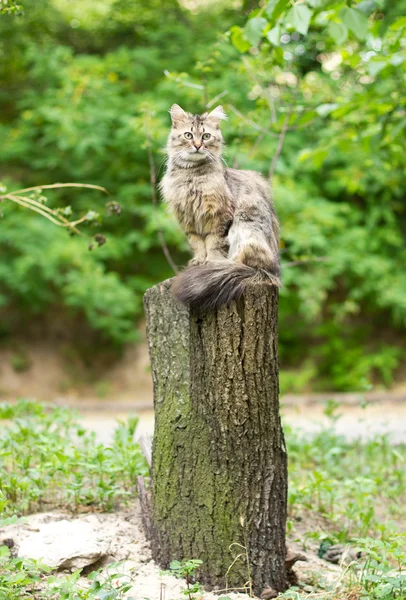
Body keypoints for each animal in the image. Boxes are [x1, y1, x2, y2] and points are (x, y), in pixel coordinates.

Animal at [160, 103, 280, 310]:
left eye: (206, 136)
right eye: (188, 135)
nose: (197, 145)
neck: (191, 176)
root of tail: (272, 271)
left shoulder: (220, 215)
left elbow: (214, 243)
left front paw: (212, 262)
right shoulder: (188, 218)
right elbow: (198, 244)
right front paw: (199, 261)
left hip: (244, 227)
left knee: (243, 262)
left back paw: (226, 267)